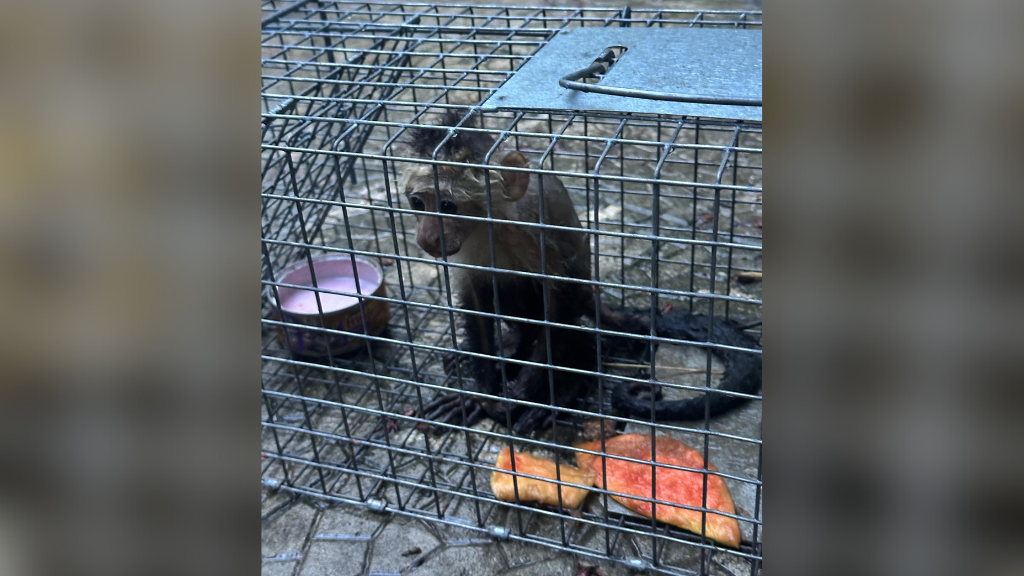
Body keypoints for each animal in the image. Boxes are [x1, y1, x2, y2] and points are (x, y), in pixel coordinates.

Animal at [399, 110, 761, 434]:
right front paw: (480, 394)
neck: (489, 226)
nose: (427, 237)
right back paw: (513, 343)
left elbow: (557, 300)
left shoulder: (529, 232)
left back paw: (570, 379)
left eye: (448, 206)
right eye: (418, 203)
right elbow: (475, 298)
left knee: (569, 310)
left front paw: (526, 394)